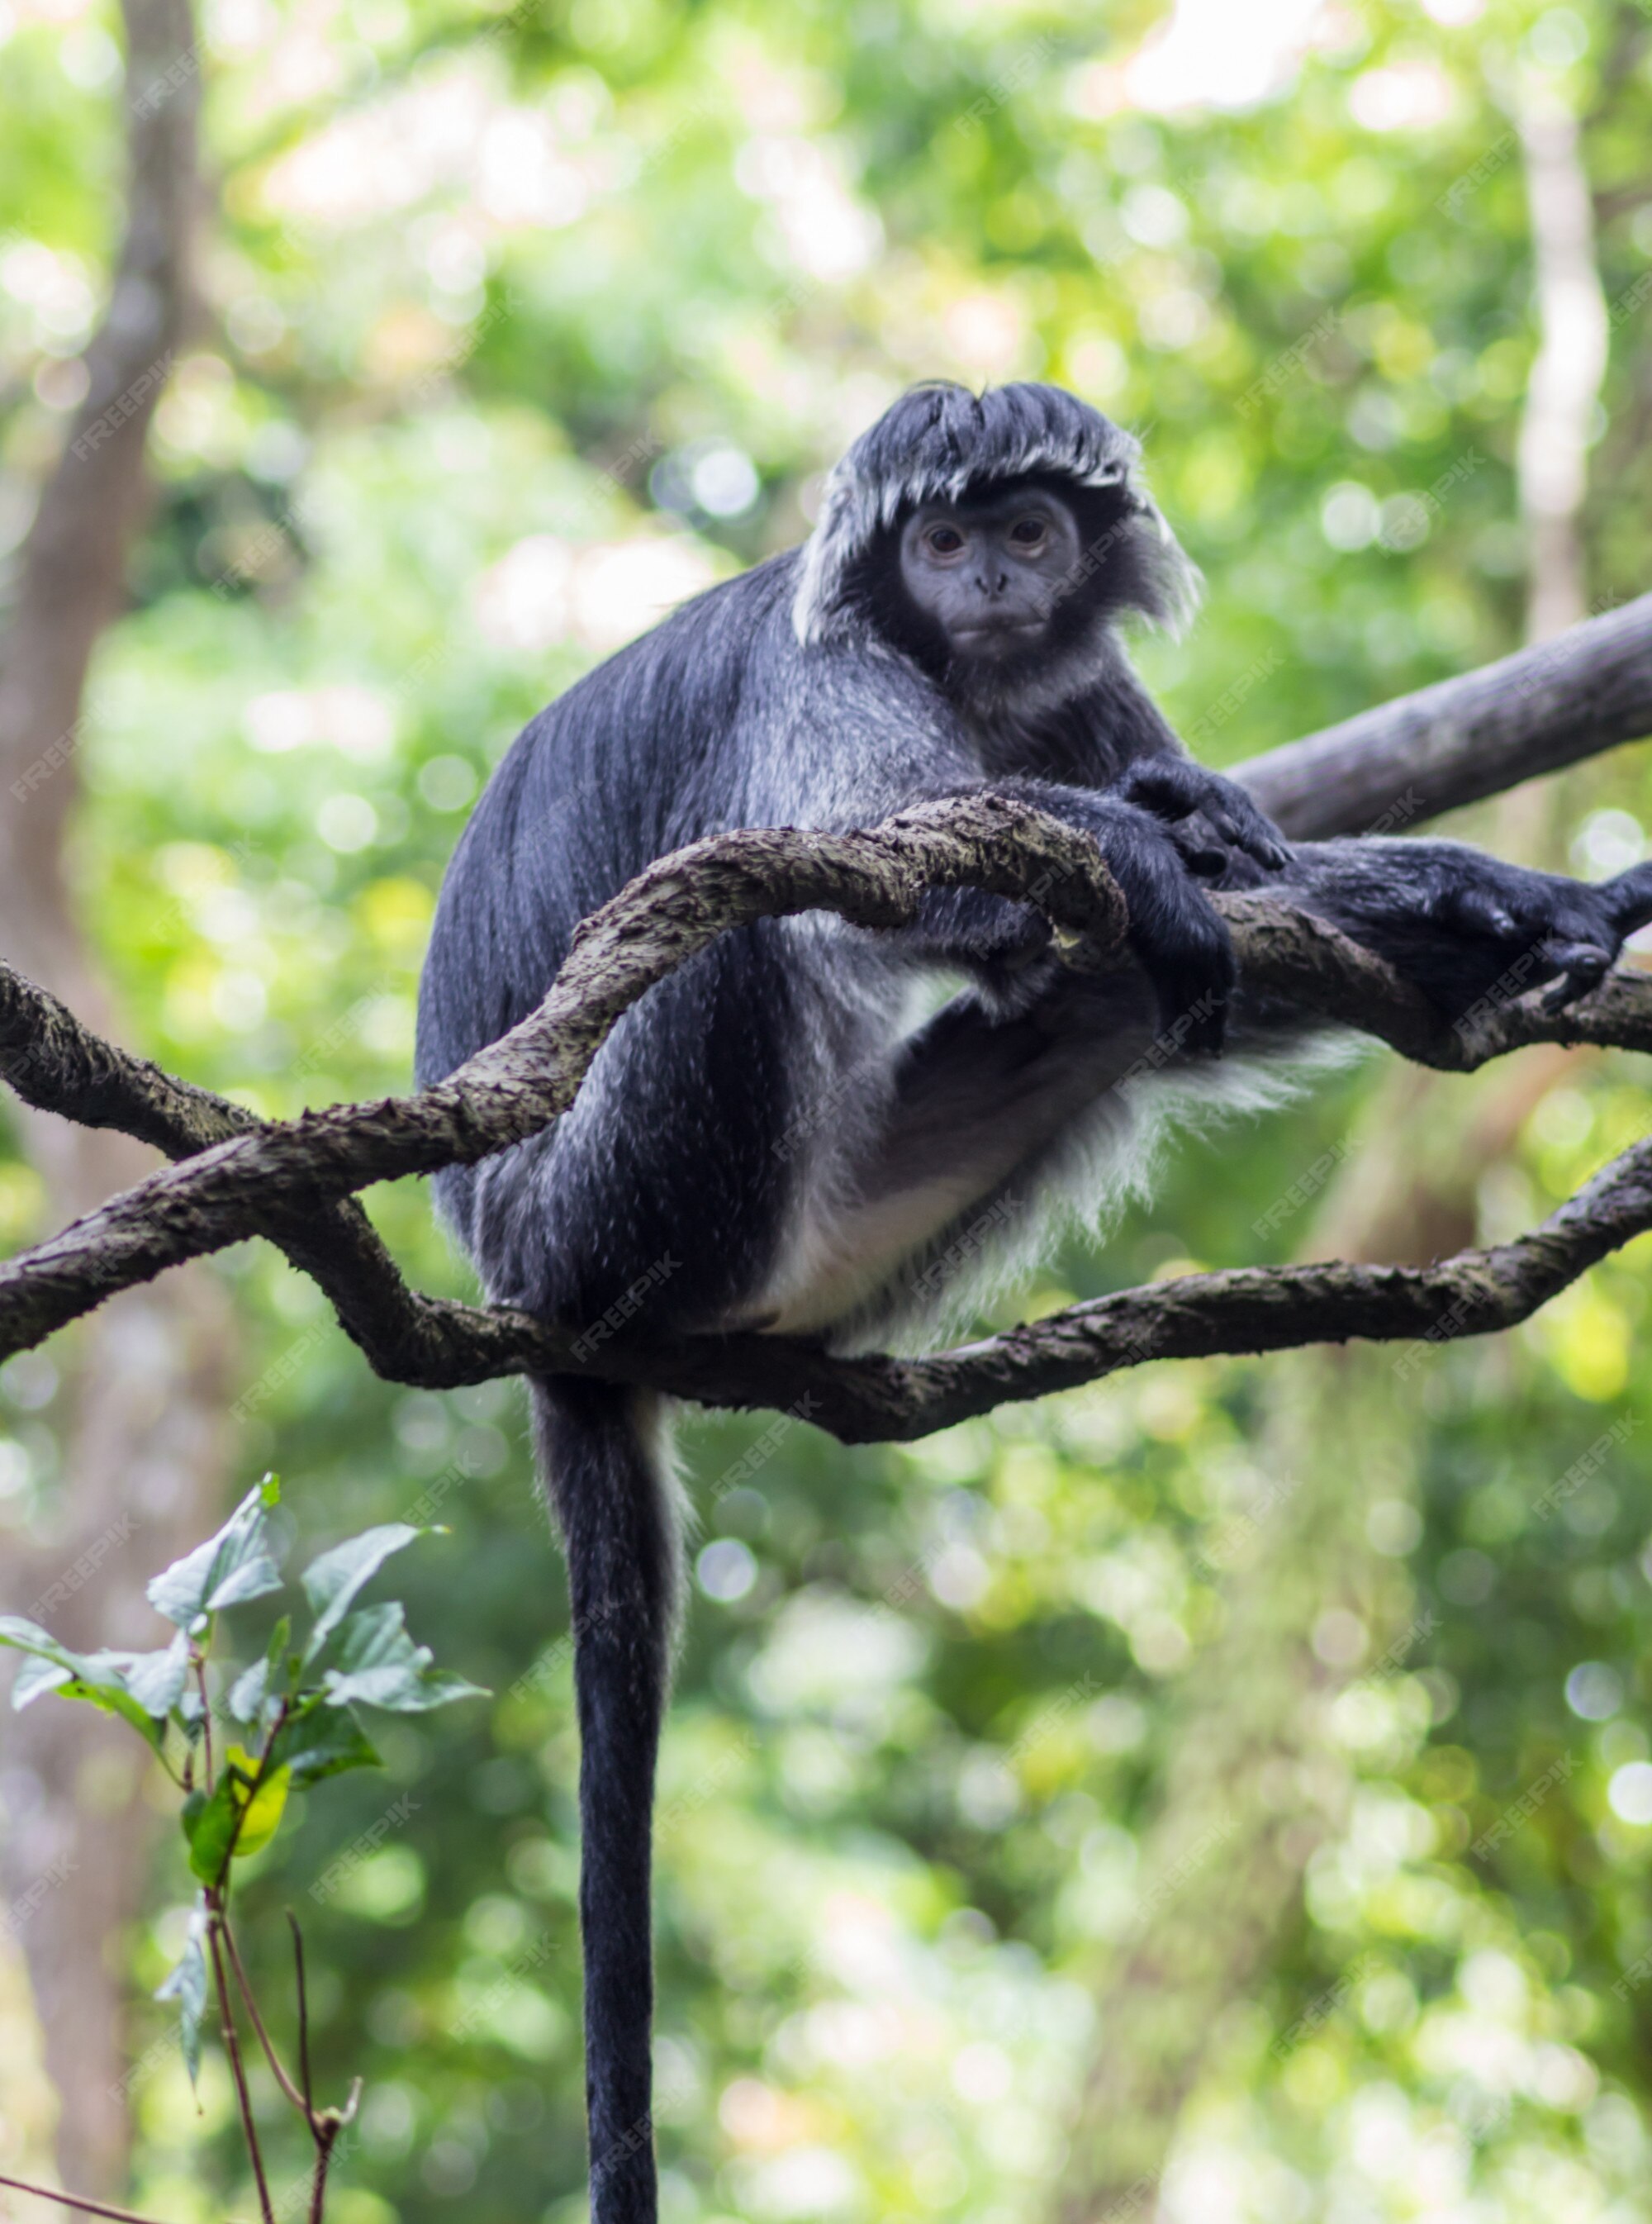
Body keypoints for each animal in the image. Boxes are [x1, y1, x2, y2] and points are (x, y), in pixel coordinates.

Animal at [413, 373, 1652, 2215]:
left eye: (1026, 530)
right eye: (941, 540)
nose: (991, 581)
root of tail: (534, 1307)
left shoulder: (1078, 690)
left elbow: (1220, 890)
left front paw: (1511, 894)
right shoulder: (823, 674)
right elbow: (878, 857)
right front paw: (1151, 842)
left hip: (858, 1227)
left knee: (1128, 997)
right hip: (606, 1203)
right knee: (760, 895)